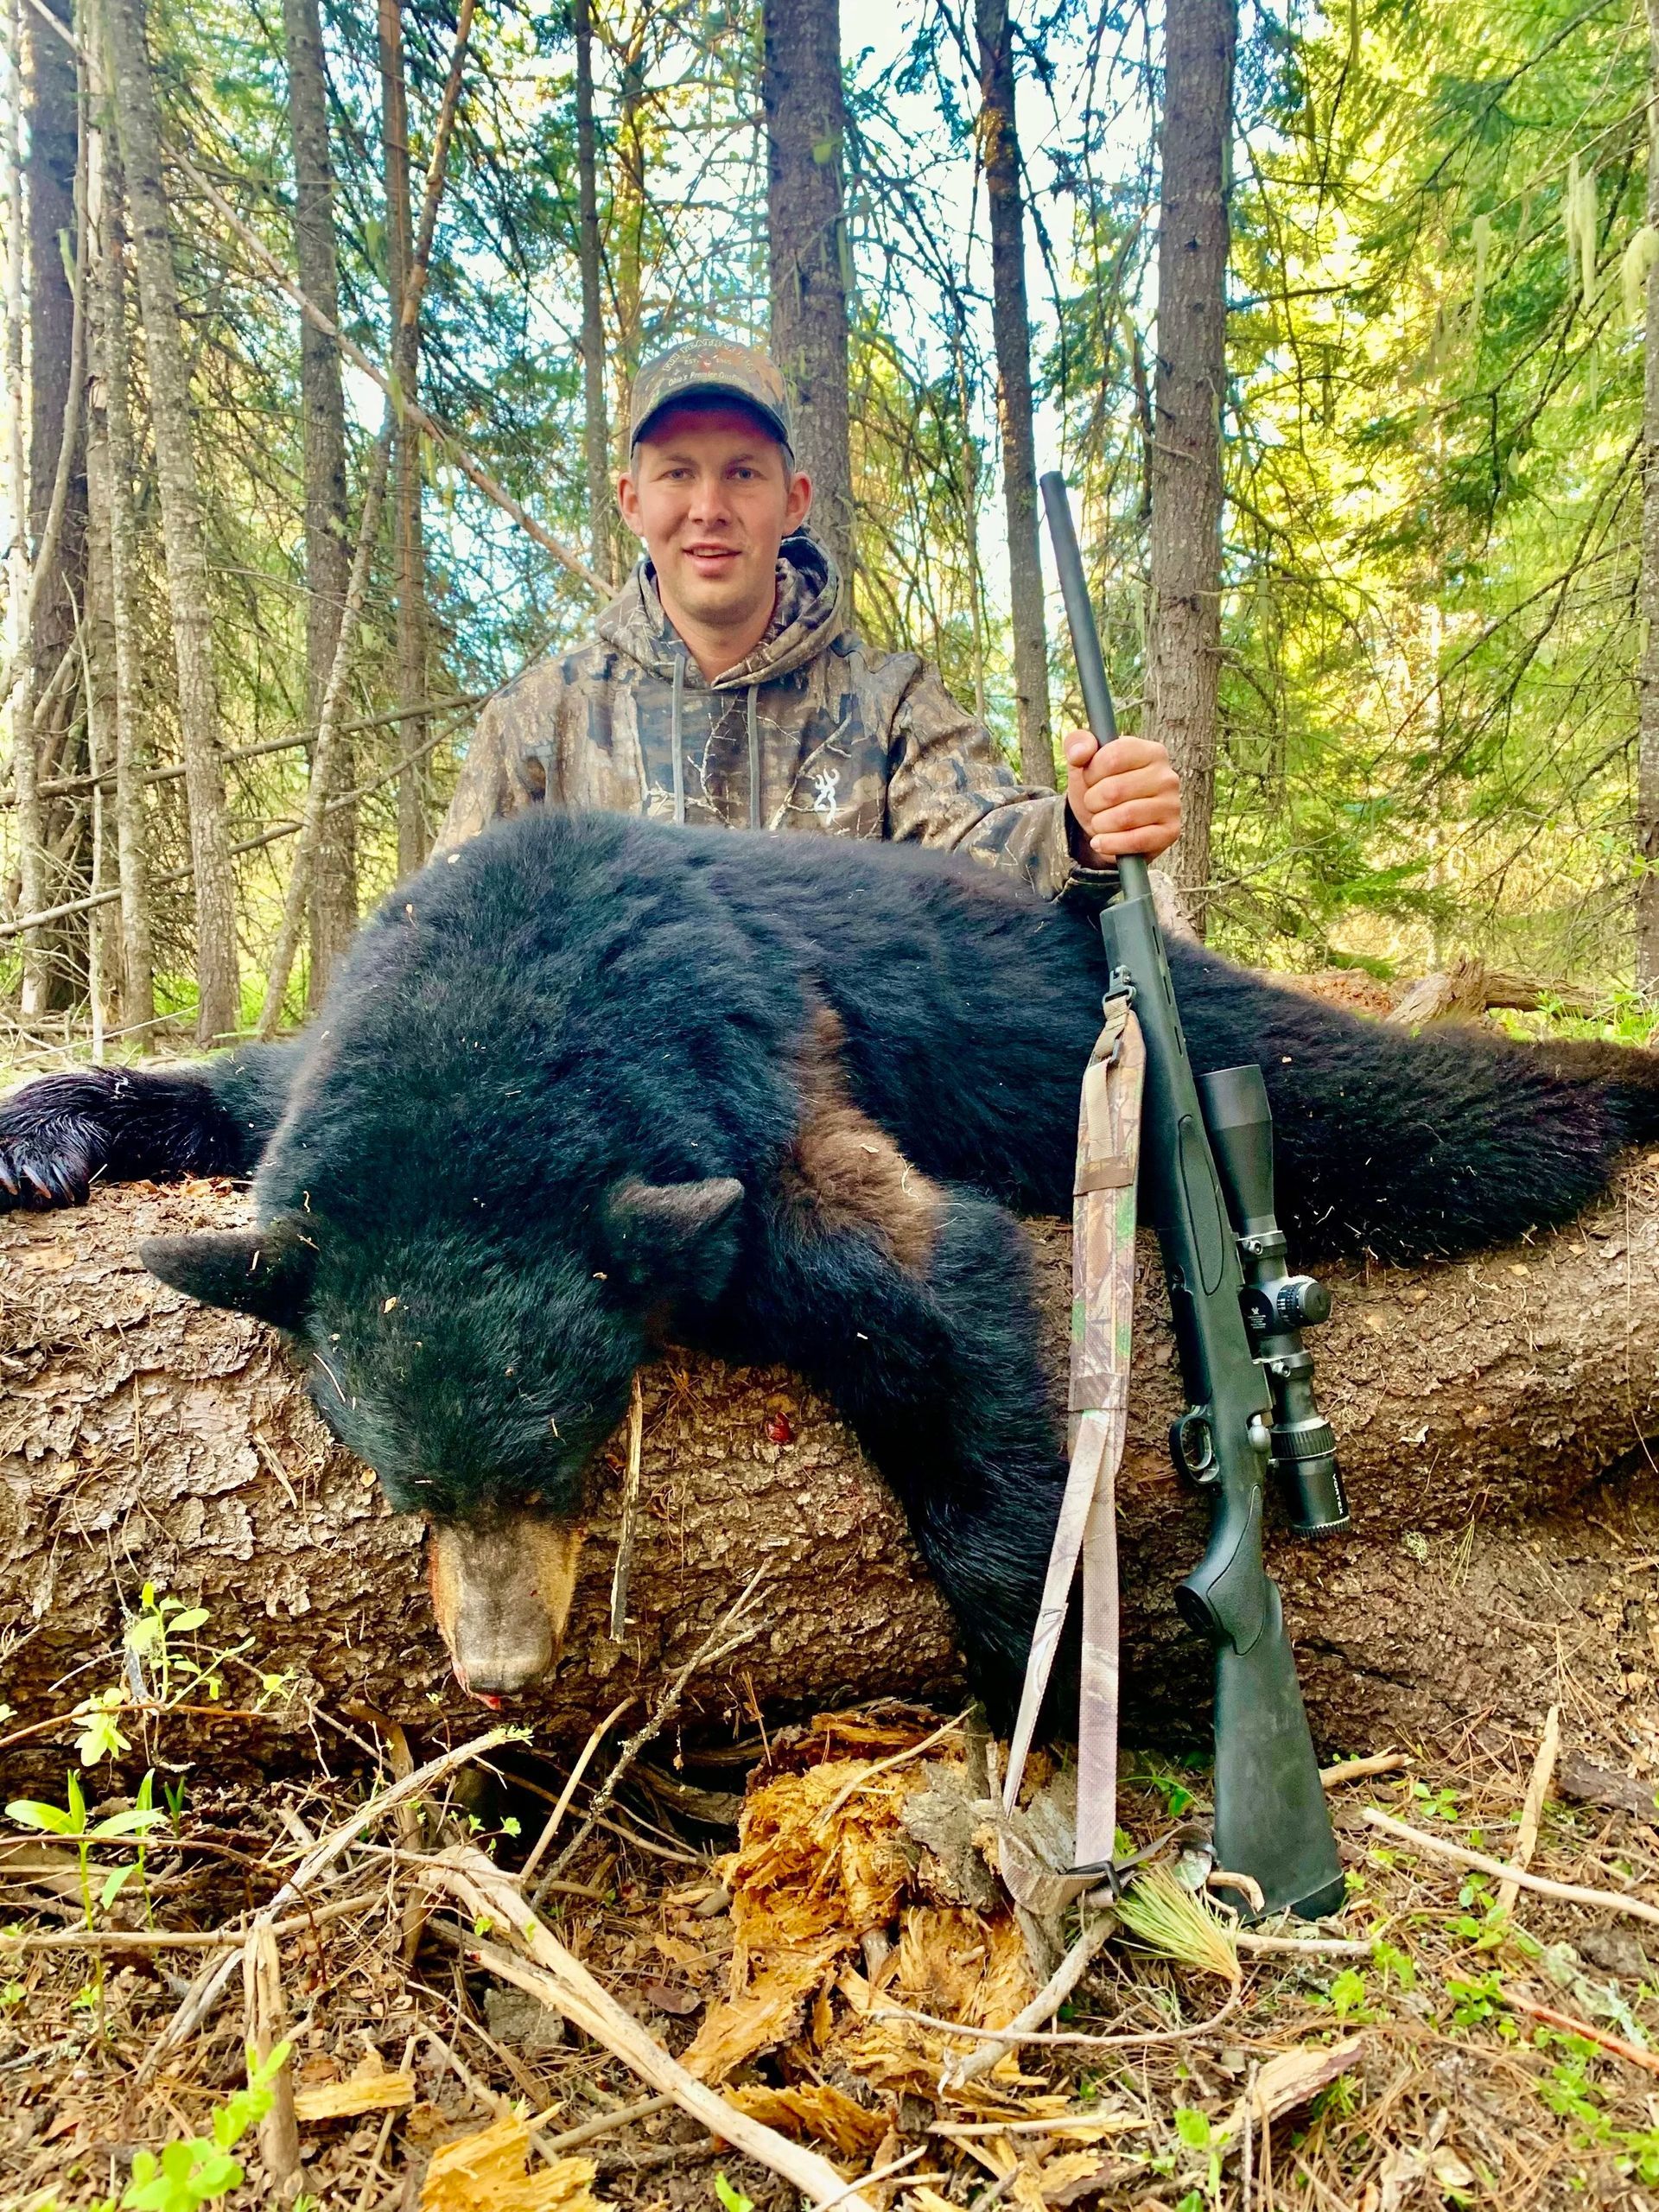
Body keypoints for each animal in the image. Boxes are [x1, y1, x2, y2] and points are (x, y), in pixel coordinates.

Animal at [3, 808, 1657, 1704]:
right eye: (409, 1486)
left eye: (565, 1454)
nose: (502, 1671)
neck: (504, 992)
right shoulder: (342, 1091)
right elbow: (233, 1086)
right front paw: (45, 1129)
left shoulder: (755, 1071)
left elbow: (919, 1281)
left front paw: (1067, 1656)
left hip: (1181, 1050)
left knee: (1423, 1119)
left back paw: (1615, 1089)